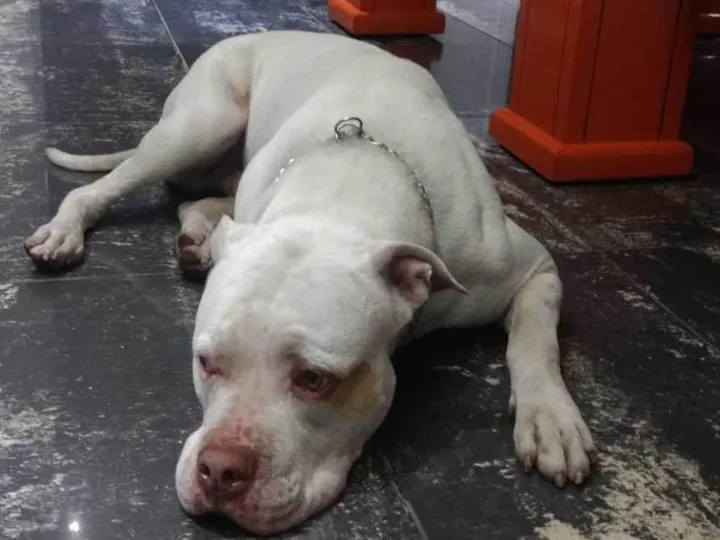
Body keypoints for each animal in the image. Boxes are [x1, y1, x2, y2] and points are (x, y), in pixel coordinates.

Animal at [25, 31, 595, 536]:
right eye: (205, 362)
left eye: (314, 379)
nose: (219, 471)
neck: (346, 188)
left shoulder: (535, 269)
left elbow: (534, 341)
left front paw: (551, 419)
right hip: (198, 126)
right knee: (103, 189)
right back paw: (68, 231)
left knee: (198, 201)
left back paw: (197, 237)